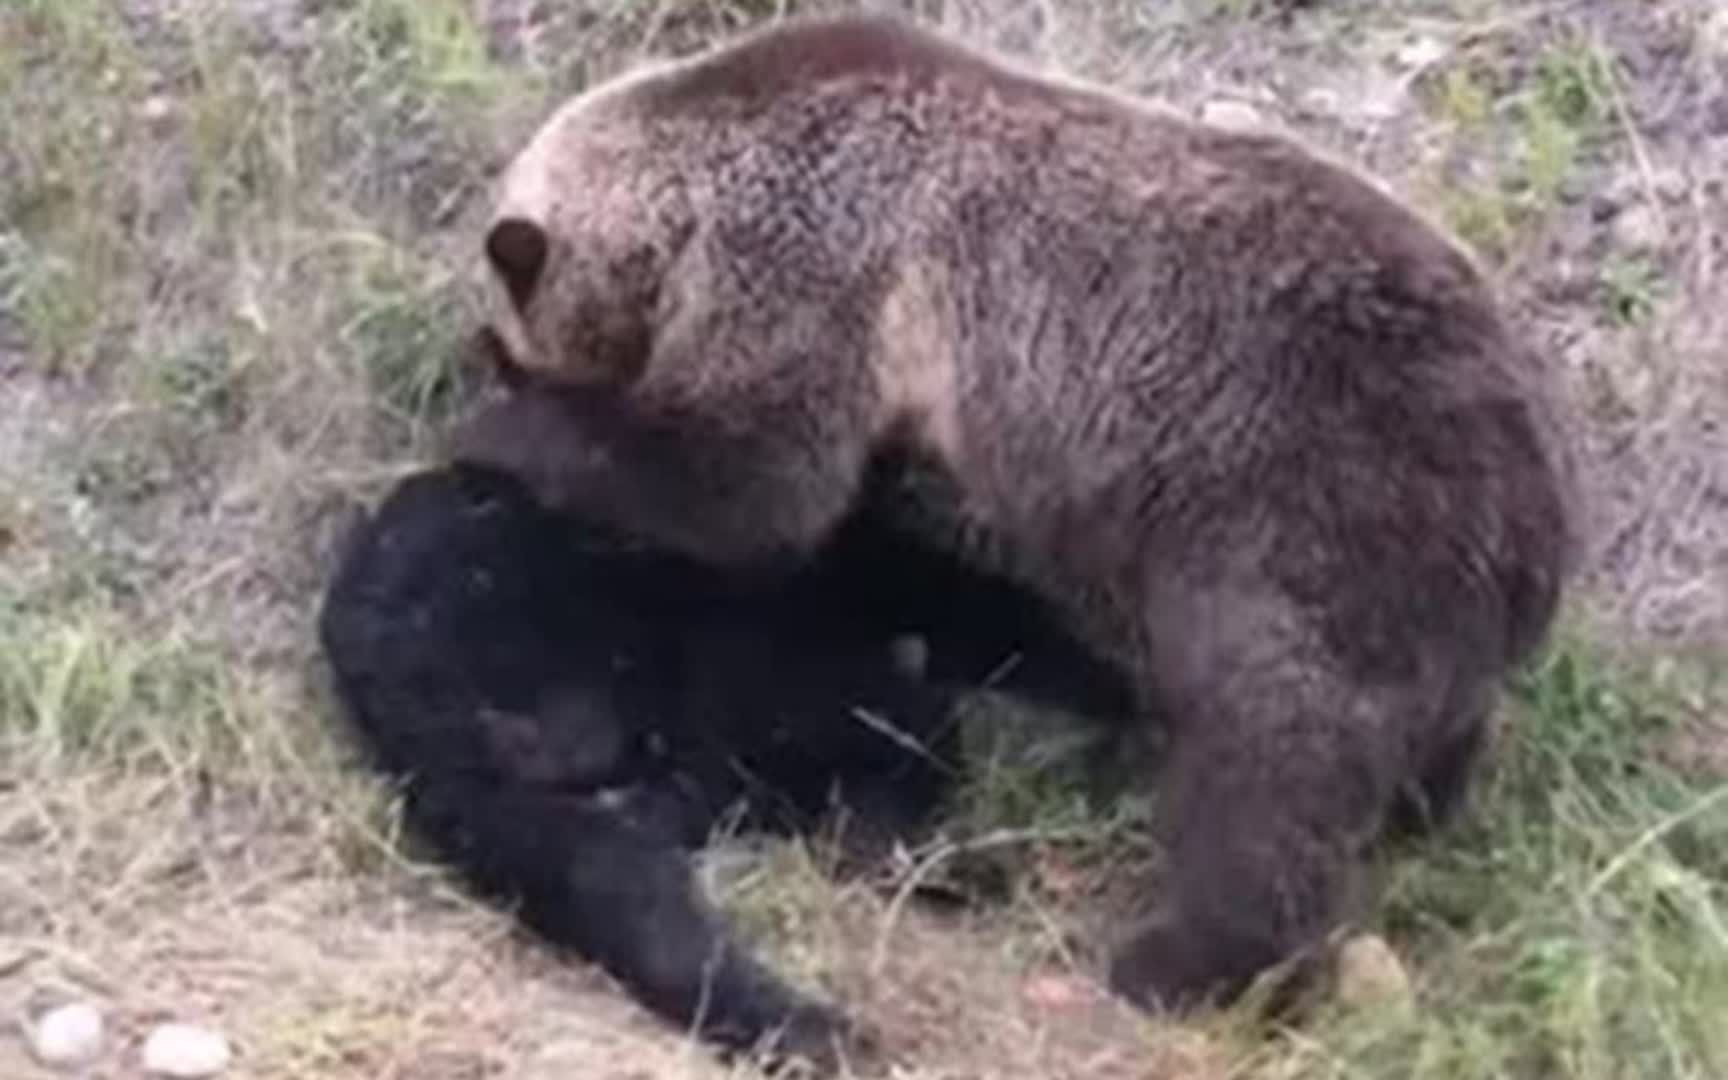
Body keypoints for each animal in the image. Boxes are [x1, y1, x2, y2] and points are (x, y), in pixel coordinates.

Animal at [456, 12, 1582, 1016]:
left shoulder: (814, 264)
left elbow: (750, 482)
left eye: (508, 334)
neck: (696, 182)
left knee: (1272, 762)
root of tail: (1536, 505)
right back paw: (1415, 816)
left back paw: (1181, 963)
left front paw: (506, 433)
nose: (492, 356)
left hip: (1306, 521)